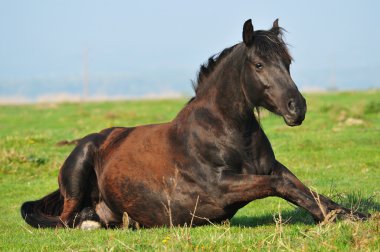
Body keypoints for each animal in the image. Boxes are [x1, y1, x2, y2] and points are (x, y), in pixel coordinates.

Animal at [20, 19, 366, 228]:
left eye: (288, 63)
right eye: (258, 64)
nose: (298, 108)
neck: (227, 132)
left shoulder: (272, 169)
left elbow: (306, 191)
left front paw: (356, 214)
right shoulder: (221, 187)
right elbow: (283, 187)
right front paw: (341, 219)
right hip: (78, 173)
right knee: (64, 219)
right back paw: (88, 222)